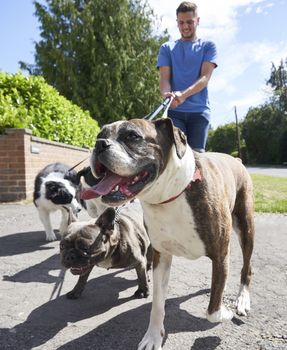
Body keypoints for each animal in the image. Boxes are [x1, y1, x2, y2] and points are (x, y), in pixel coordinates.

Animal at [82, 117, 255, 350]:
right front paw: (153, 337)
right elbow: (157, 303)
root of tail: (236, 159)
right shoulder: (161, 257)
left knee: (247, 268)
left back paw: (242, 299)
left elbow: (212, 311)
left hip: (246, 229)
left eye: (132, 136)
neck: (171, 196)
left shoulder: (220, 255)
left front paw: (226, 313)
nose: (99, 144)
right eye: (100, 134)